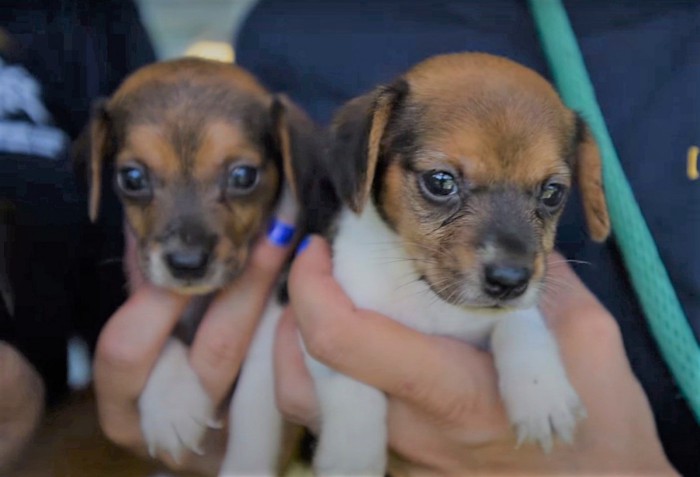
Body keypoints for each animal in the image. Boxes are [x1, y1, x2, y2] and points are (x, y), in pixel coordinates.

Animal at [83, 57, 322, 474]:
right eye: (132, 178)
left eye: (243, 176)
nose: (187, 264)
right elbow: (162, 338)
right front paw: (171, 403)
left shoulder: (281, 301)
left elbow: (255, 391)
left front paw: (247, 463)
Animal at [304, 52, 608, 472]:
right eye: (440, 182)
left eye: (552, 193)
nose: (510, 280)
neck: (427, 295)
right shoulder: (328, 327)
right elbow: (352, 384)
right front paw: (352, 456)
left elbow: (519, 322)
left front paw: (540, 392)